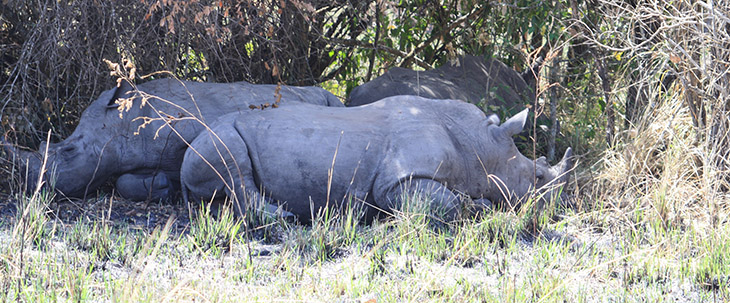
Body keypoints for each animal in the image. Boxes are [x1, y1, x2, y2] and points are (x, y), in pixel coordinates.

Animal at [3, 78, 344, 202]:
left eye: (70, 150)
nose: (32, 186)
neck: (118, 123)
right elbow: (123, 181)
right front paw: (164, 187)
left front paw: (169, 188)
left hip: (329, 100)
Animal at [178, 96, 568, 222]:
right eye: (536, 179)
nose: (553, 209)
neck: (481, 147)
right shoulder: (396, 181)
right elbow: (451, 203)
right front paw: (476, 206)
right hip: (216, 134)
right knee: (234, 167)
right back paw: (283, 217)